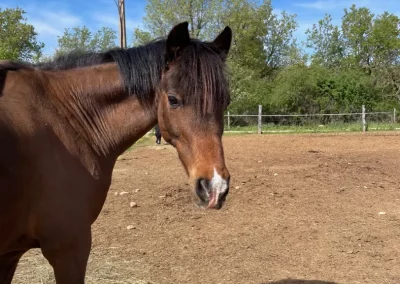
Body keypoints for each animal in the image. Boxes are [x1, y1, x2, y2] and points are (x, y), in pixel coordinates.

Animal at [0, 22, 233, 284]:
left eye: (226, 102)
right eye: (173, 99)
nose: (216, 187)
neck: (63, 117)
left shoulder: (10, 254)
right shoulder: (68, 247)